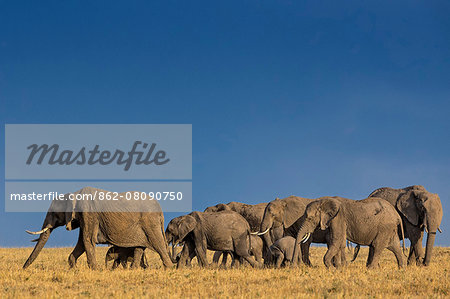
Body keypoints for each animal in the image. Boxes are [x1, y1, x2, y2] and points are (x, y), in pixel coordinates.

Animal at [22, 188, 174, 270]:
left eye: (54, 213)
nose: (23, 269)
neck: (74, 194)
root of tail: (160, 210)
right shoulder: (84, 218)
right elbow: (81, 243)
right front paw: (74, 269)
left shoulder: (89, 214)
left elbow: (87, 240)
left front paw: (95, 270)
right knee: (139, 248)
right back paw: (134, 270)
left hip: (150, 224)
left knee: (159, 246)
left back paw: (169, 269)